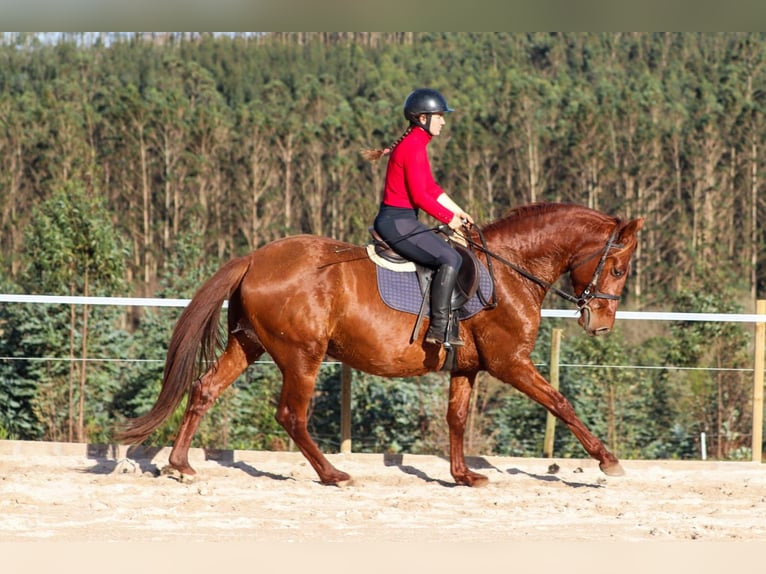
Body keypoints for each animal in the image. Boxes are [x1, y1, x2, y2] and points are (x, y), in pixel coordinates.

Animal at [117, 205, 644, 488]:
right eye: (618, 268)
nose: (600, 324)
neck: (511, 268)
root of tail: (254, 258)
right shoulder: (510, 363)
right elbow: (561, 402)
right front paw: (608, 460)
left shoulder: (468, 367)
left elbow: (456, 418)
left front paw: (463, 475)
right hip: (301, 355)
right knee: (291, 415)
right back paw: (333, 474)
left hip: (249, 346)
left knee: (205, 389)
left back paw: (180, 465)